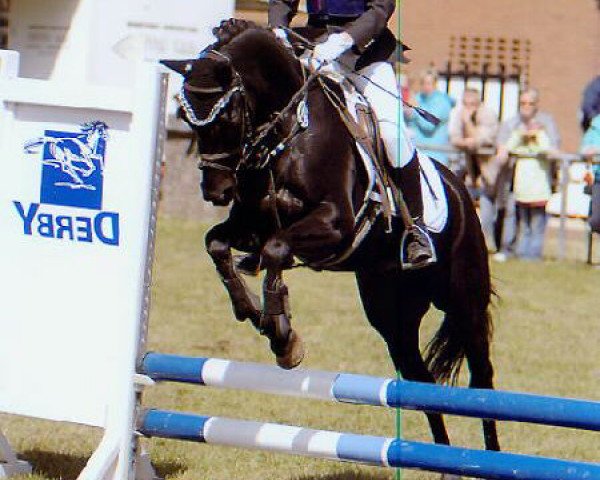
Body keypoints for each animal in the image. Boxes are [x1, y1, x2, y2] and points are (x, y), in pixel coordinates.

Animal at [162, 18, 500, 454]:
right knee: (419, 381)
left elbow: (276, 249)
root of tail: (462, 190)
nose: (215, 191)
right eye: (186, 118)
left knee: (482, 377)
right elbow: (219, 244)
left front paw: (281, 334)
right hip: (392, 311)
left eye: (228, 115)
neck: (289, 133)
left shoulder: (335, 224)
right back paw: (435, 456)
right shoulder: (251, 227)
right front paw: (255, 312)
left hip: (461, 297)